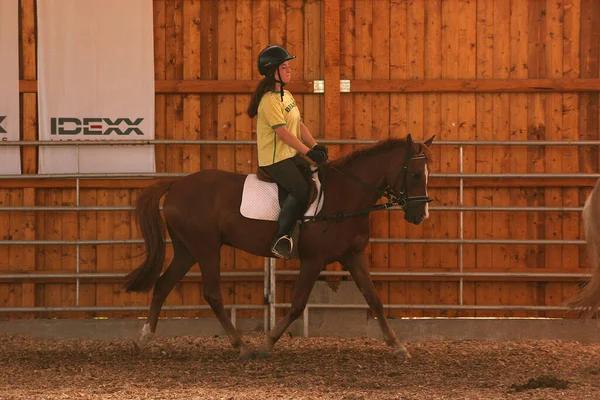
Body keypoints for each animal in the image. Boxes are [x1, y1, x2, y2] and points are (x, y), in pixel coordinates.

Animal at [124, 134, 434, 360]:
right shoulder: (313, 260)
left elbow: (375, 299)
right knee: (212, 294)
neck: (345, 195)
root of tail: (175, 185)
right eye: (415, 175)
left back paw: (142, 340)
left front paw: (397, 346)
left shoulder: (353, 256)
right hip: (206, 248)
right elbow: (297, 305)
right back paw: (242, 346)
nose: (421, 215)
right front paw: (268, 343)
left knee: (163, 285)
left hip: (187, 250)